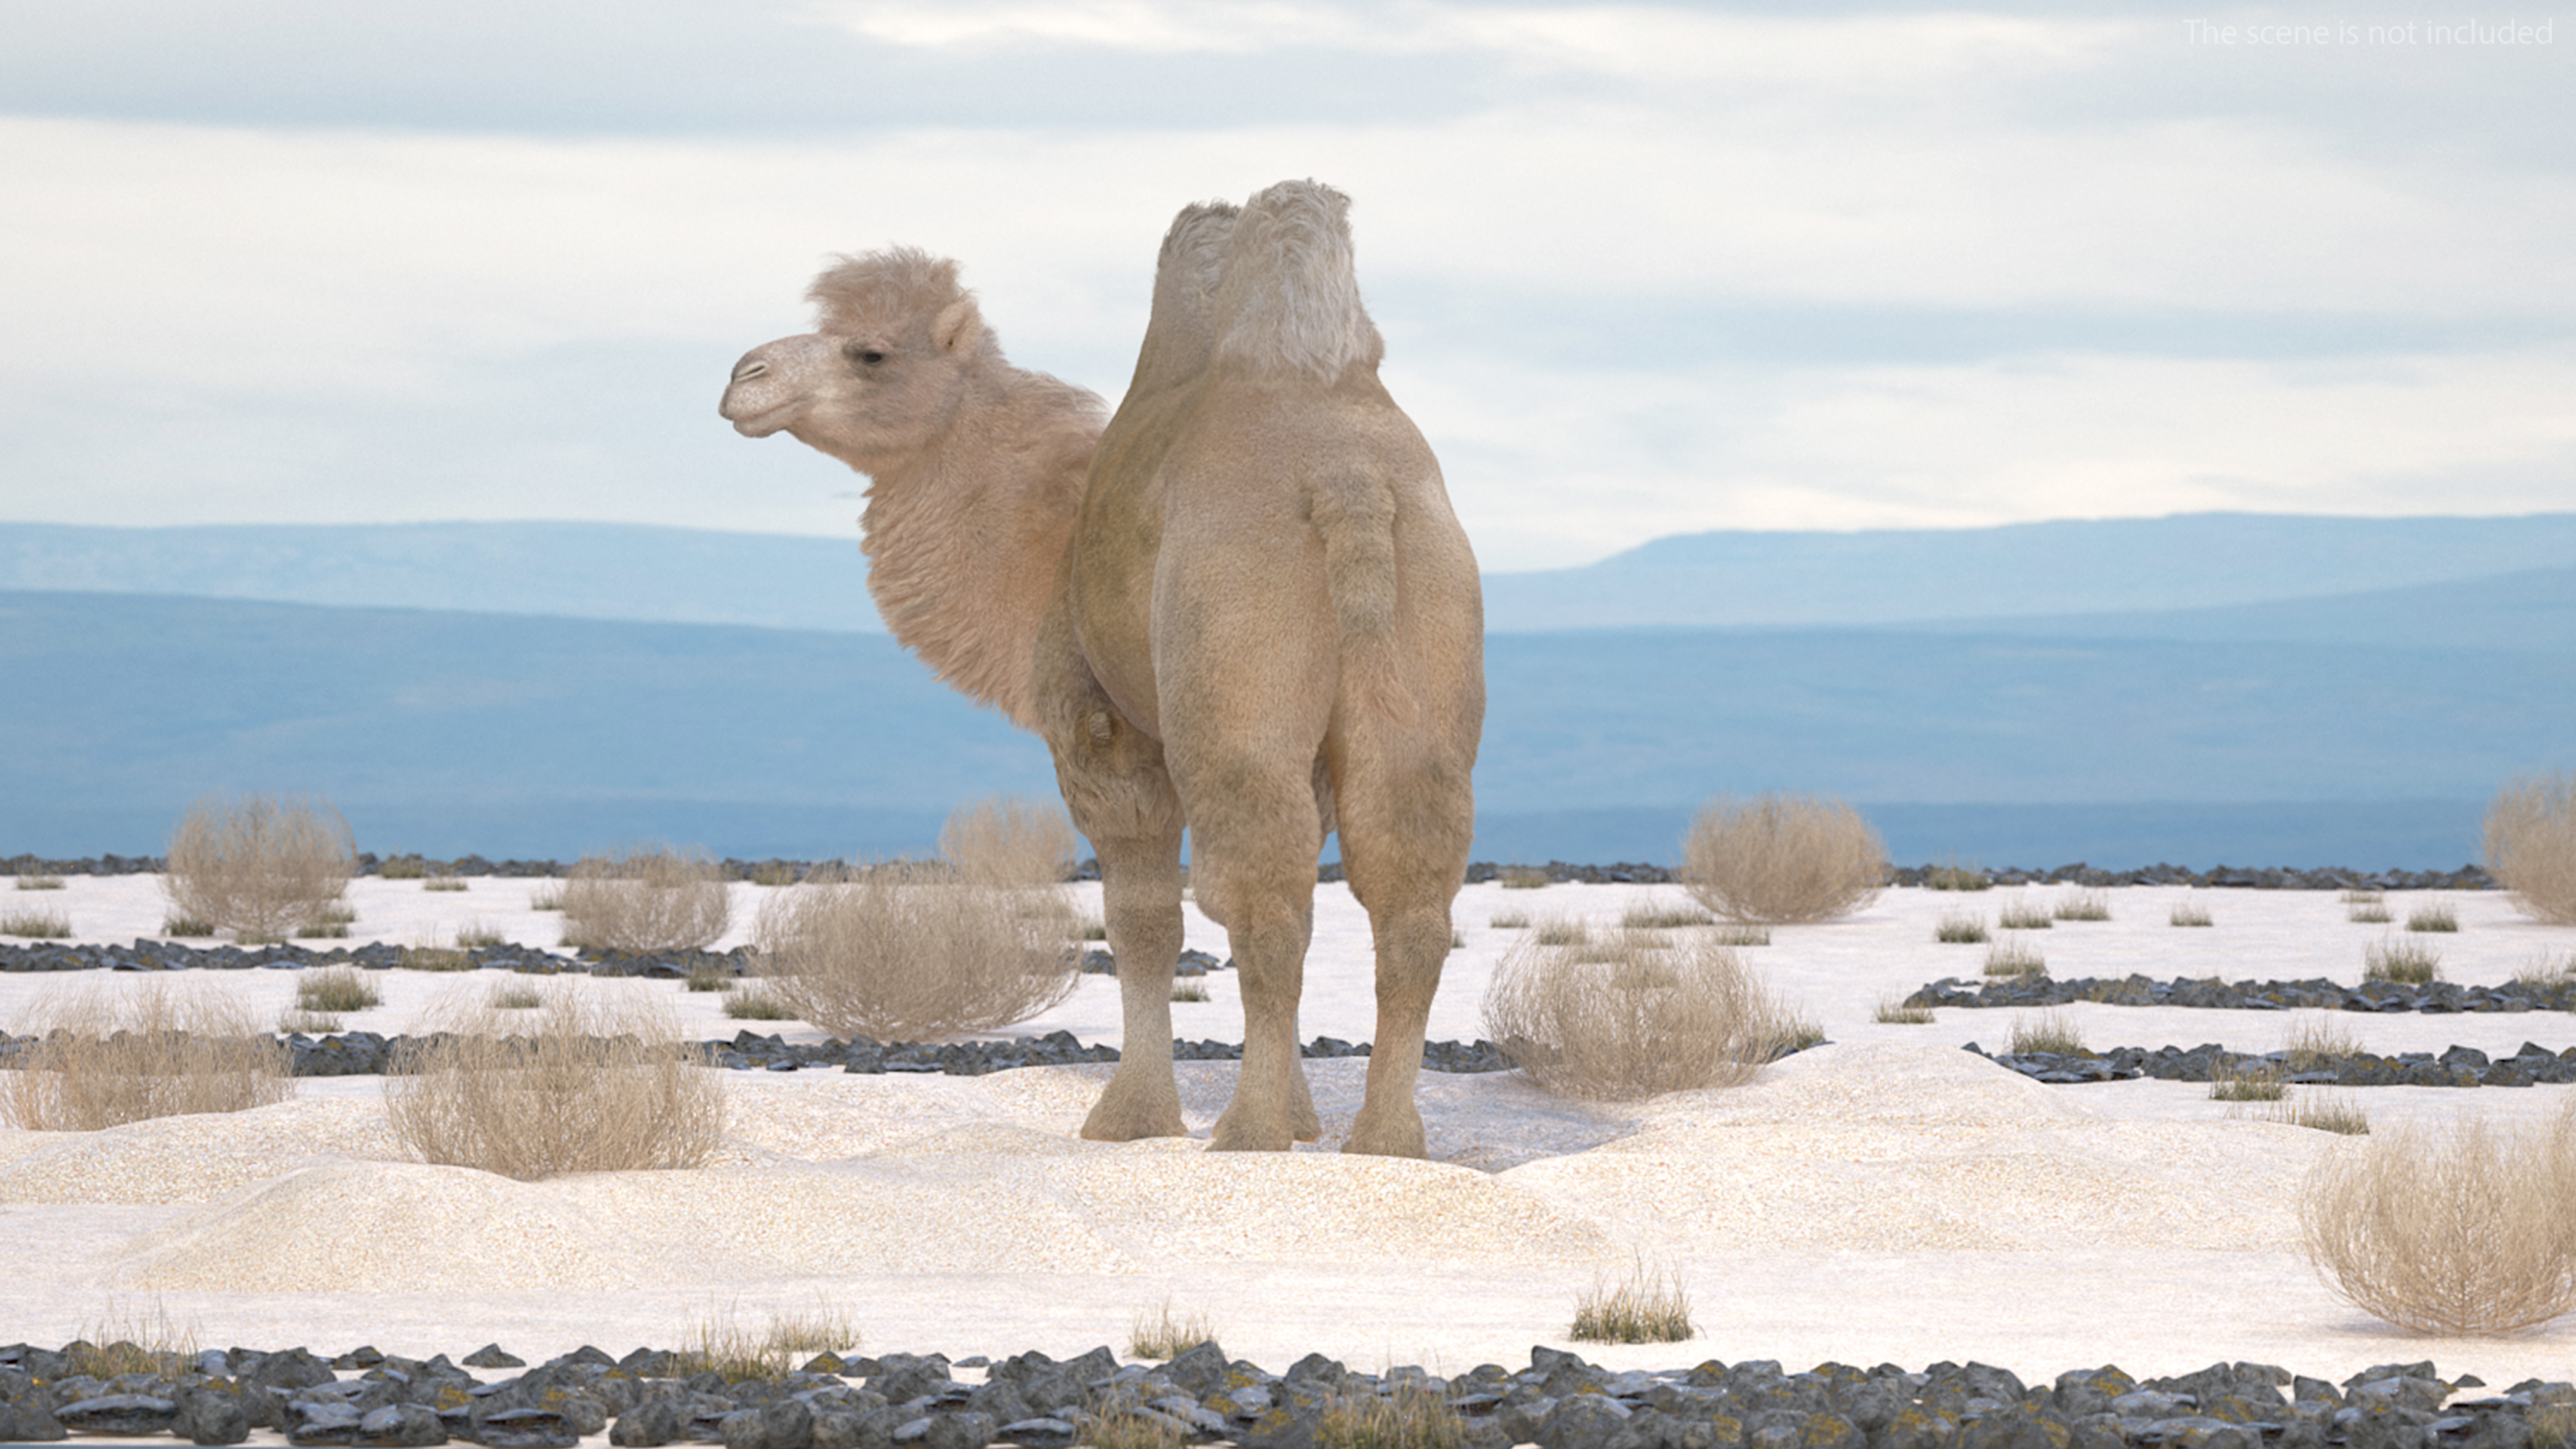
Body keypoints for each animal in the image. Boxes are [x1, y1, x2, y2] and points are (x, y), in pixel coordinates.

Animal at [726, 180, 1494, 1150]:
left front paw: (1133, 1116)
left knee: (1262, 897)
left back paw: (1246, 1134)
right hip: (1429, 634)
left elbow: (1143, 921)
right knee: (1409, 890)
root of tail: (1346, 478)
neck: (1049, 538)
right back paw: (1386, 1141)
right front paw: (1303, 1116)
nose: (743, 377)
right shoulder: (1316, 756)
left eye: (870, 352)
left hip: (1229, 666)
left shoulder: (1102, 727)